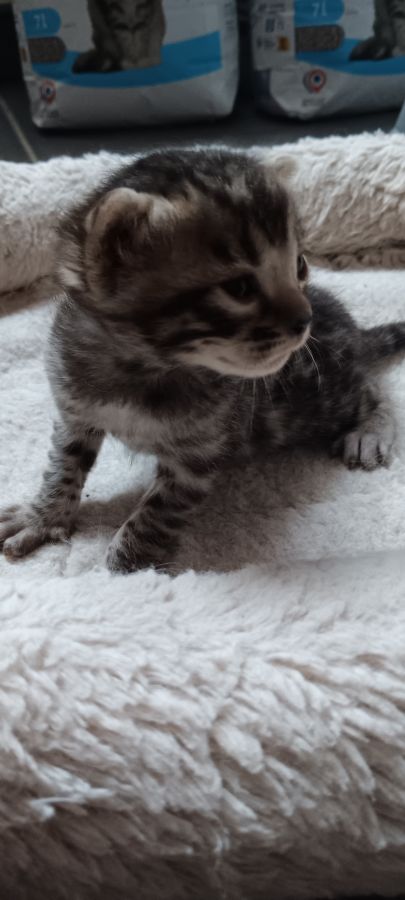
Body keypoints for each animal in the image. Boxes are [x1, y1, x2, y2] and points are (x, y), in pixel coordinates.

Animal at [1, 147, 405, 574]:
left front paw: (125, 569)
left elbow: (155, 513)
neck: (144, 368)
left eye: (299, 265)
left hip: (322, 397)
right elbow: (63, 465)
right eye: (240, 288)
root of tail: (351, 329)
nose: (304, 321)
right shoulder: (73, 410)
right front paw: (43, 517)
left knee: (371, 388)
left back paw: (369, 430)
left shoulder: (195, 456)